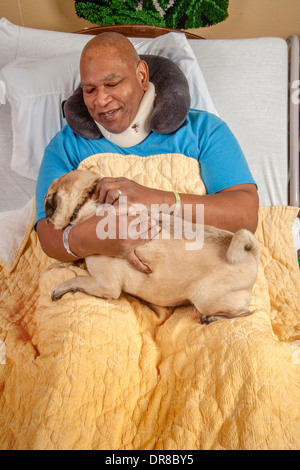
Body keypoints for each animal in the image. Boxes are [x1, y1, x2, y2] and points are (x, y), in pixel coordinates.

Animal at [44, 170, 260, 324]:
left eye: (47, 204)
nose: (45, 220)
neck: (85, 200)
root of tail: (252, 253)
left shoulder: (105, 285)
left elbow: (78, 279)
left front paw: (61, 288)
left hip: (206, 299)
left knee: (245, 312)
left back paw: (212, 317)